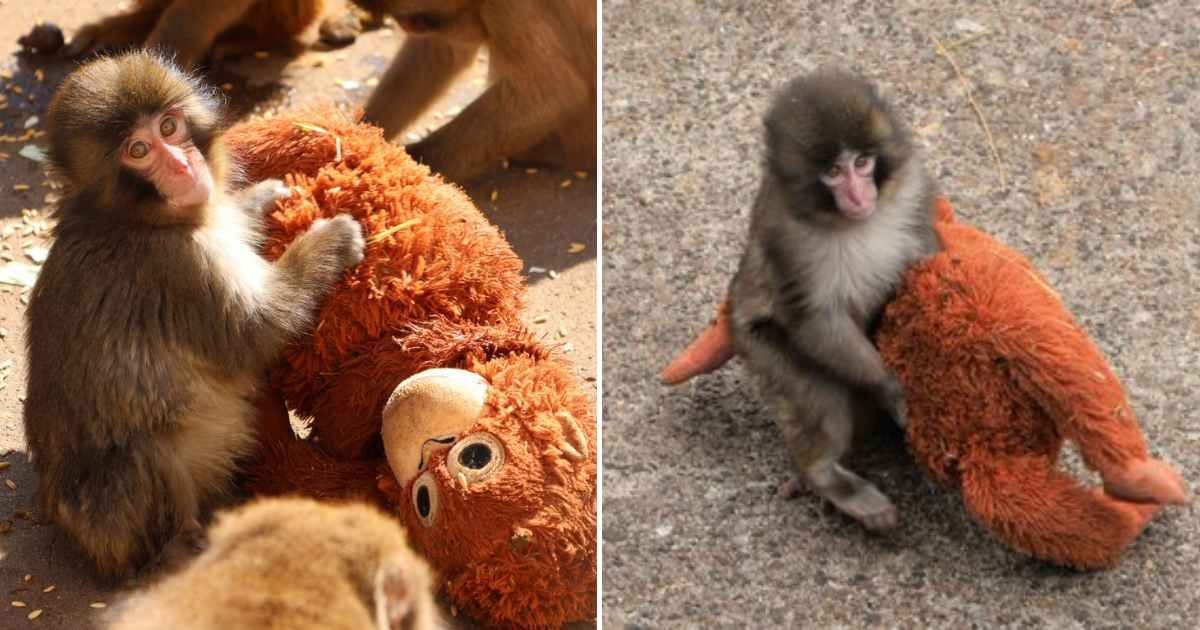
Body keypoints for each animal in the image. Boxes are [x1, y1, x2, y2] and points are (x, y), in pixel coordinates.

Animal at [25, 50, 365, 581]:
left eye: (169, 126)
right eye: (139, 150)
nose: (183, 165)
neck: (136, 218)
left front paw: (259, 199)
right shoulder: (179, 266)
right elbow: (254, 332)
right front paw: (329, 243)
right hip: (113, 520)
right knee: (146, 452)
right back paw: (183, 547)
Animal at [351, 0, 597, 182]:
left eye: (414, 18)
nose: (408, 26)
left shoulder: (509, 6)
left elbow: (553, 91)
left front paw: (410, 167)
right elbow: (442, 50)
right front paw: (362, 131)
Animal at [726, 70, 940, 531]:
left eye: (861, 163)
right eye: (833, 172)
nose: (859, 196)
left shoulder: (913, 188)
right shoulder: (787, 237)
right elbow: (814, 318)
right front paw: (891, 388)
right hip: (757, 345)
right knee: (819, 397)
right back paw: (825, 477)